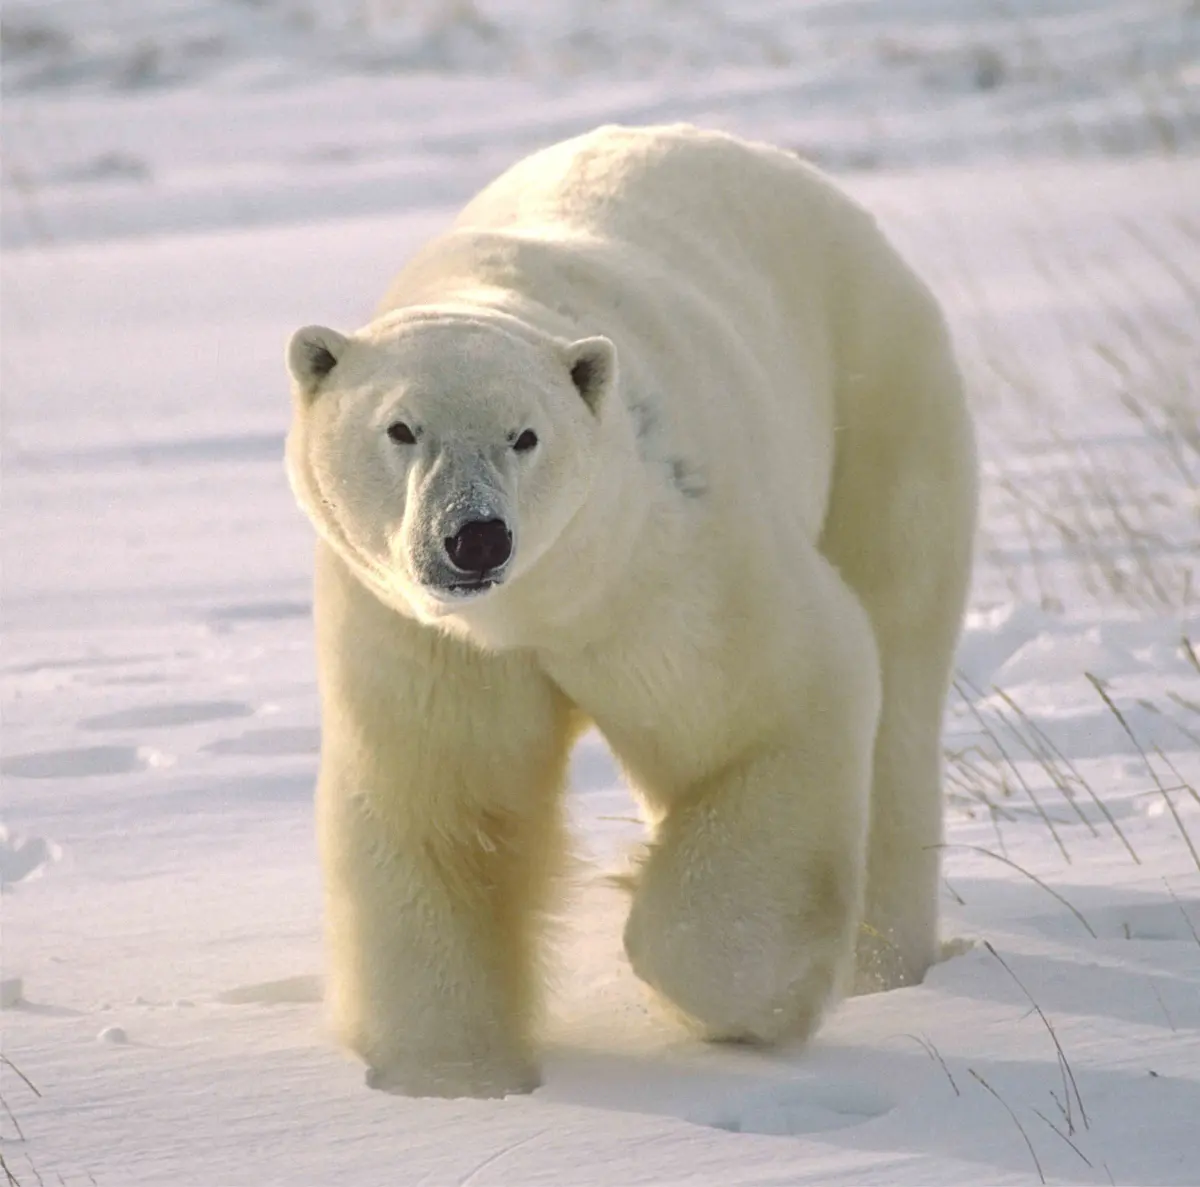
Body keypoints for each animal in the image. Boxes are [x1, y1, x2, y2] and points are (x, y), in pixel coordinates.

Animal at [284, 123, 977, 1099]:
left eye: (525, 435)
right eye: (401, 428)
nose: (475, 538)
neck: (538, 605)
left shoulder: (661, 566)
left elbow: (773, 701)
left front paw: (730, 995)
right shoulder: (425, 637)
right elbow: (446, 806)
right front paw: (454, 1074)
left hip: (879, 404)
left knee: (901, 664)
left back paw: (886, 962)